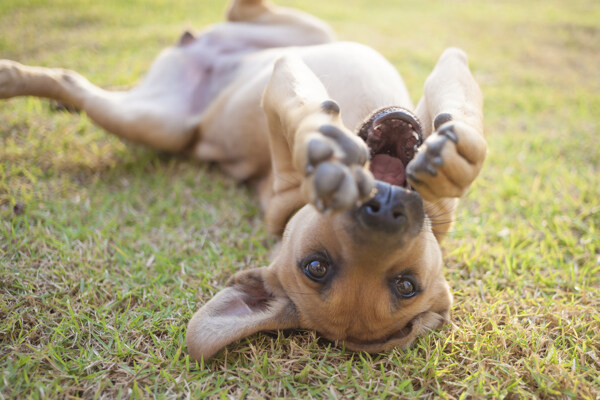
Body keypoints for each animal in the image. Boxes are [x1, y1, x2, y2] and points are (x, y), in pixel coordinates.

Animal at [0, 0, 488, 360]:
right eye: (316, 267)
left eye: (406, 286)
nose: (383, 208)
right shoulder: (283, 90)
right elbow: (310, 114)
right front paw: (326, 146)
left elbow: (459, 108)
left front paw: (452, 155)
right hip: (166, 113)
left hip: (164, 110)